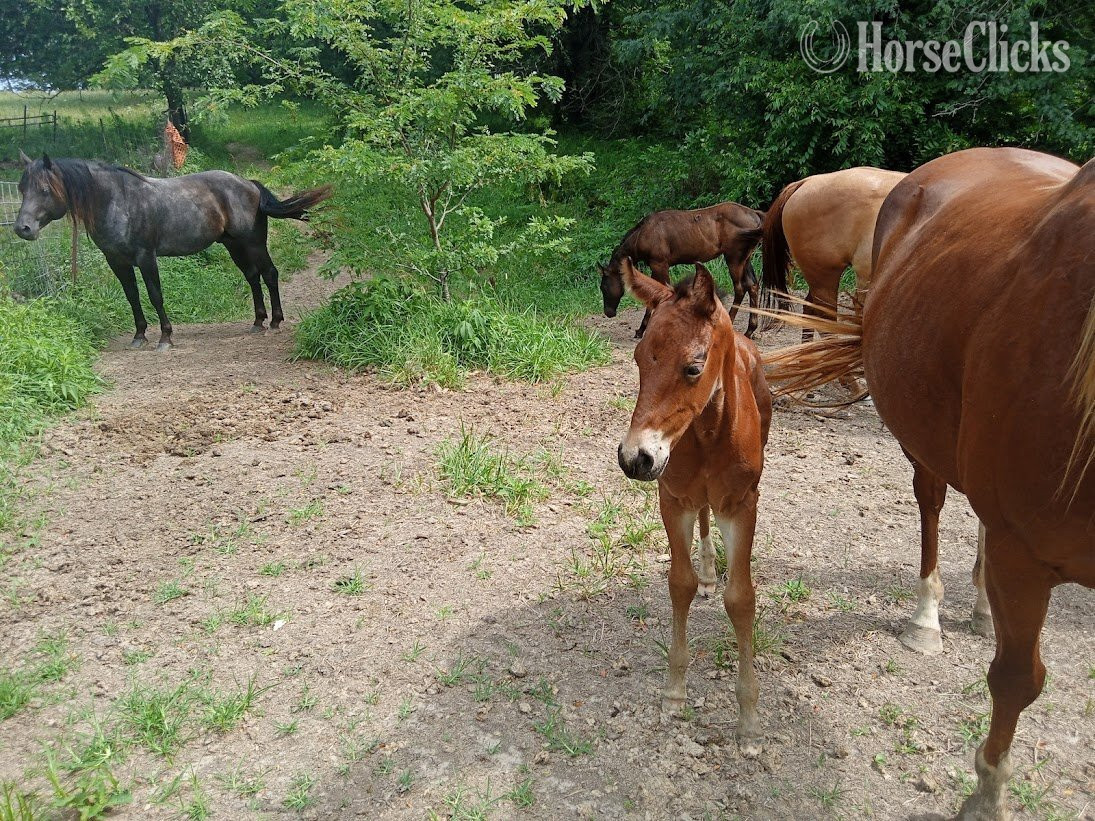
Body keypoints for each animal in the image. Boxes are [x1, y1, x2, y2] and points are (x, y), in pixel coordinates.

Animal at [13, 151, 332, 350]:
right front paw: (139, 335)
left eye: (44, 190)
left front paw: (165, 338)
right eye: (21, 188)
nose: (22, 228)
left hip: (253, 244)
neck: (118, 201)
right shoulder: (117, 261)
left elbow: (155, 295)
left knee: (269, 274)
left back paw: (276, 321)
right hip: (234, 246)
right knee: (253, 277)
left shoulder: (146, 257)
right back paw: (258, 322)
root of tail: (249, 185)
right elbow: (132, 297)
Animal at [598, 203, 764, 339]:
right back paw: (750, 330)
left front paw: (643, 329)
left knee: (740, 288)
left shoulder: (659, 264)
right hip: (745, 259)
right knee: (752, 285)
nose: (608, 312)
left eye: (603, 286)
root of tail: (755, 214)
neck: (642, 235)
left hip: (733, 258)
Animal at [616, 258, 771, 756]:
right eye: (639, 358)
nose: (635, 458)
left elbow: (741, 599)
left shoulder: (742, 505)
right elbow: (679, 584)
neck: (706, 434)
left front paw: (749, 720)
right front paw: (674, 693)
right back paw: (706, 571)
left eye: (693, 367)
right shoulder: (673, 498)